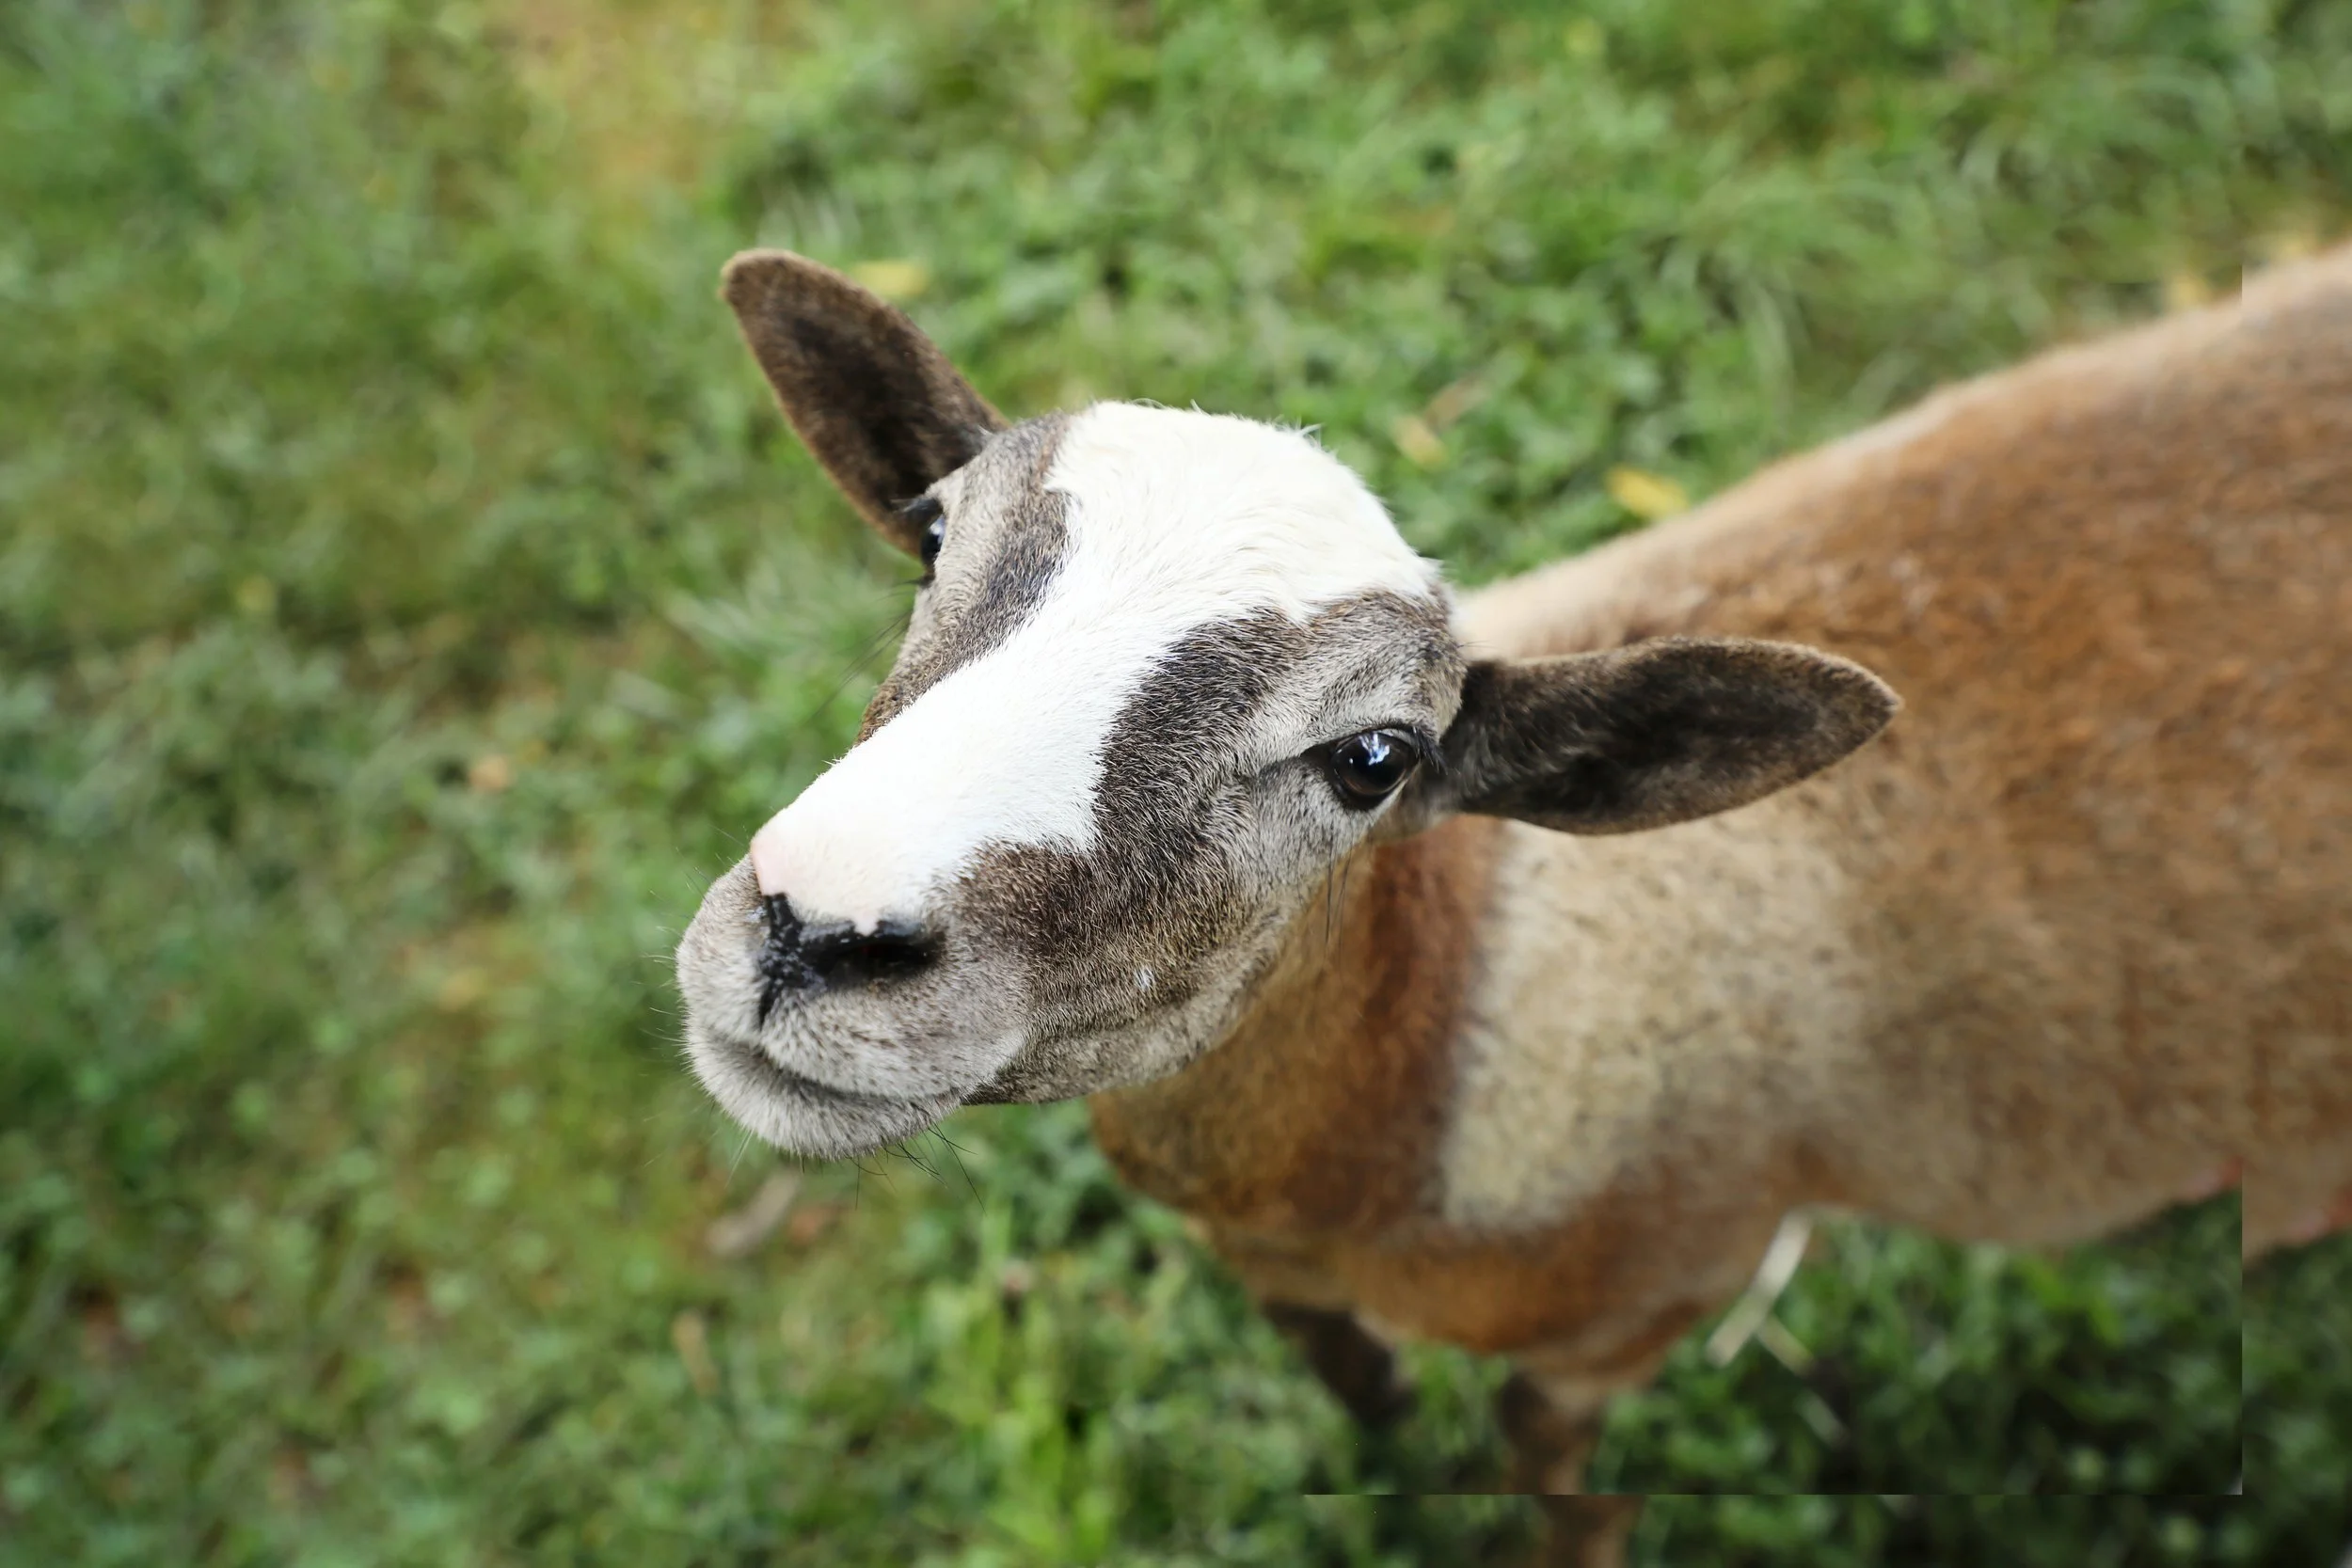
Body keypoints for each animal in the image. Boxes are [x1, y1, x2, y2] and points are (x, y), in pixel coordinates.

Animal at [673, 245, 2352, 1563]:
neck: (1439, 1030)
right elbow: (1359, 1388)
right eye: (932, 535)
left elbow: (1553, 1473)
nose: (812, 926)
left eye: (1374, 757)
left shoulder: (1649, 1302)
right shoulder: (1278, 1265)